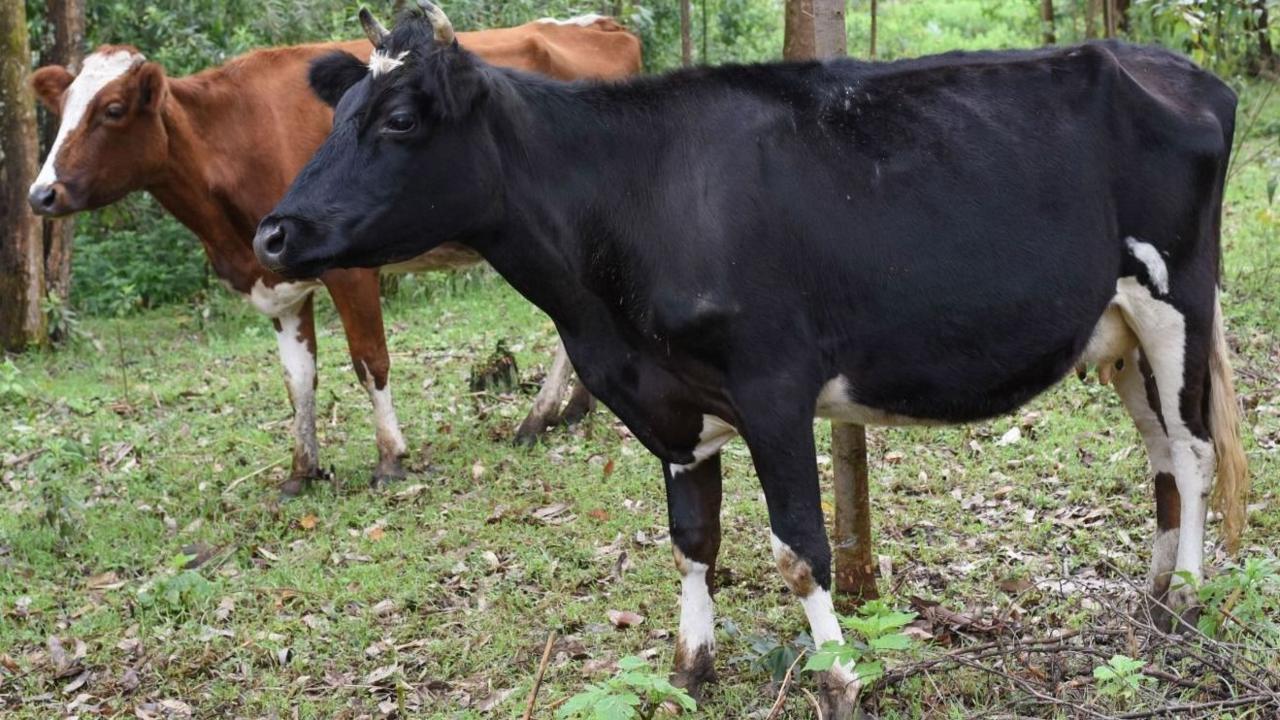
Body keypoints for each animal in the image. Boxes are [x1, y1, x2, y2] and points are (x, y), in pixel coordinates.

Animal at [26, 14, 640, 496]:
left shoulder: (349, 268)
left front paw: (391, 458)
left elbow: (370, 360)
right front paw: (302, 471)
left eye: (112, 109)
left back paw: (541, 417)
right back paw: (574, 408)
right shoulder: (276, 275)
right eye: (62, 106)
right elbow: (298, 379)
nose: (41, 195)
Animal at [253, 2, 1249, 714]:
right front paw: (690, 667)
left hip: (1175, 300)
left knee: (1194, 451)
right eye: (338, 114)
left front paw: (839, 677)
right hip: (1117, 334)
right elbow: (692, 539)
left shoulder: (773, 386)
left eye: (401, 118)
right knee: (1162, 460)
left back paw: (1190, 603)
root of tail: (1176, 66)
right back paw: (1155, 598)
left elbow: (800, 546)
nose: (273, 232)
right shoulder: (667, 402)